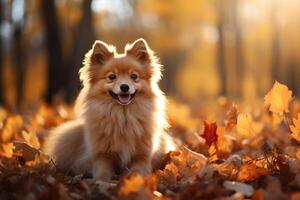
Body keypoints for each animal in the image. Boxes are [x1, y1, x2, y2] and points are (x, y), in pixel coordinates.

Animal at [44, 38, 176, 180]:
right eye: (112, 77)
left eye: (134, 77)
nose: (124, 86)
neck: (123, 116)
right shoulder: (102, 156)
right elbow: (102, 173)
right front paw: (101, 181)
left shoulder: (142, 157)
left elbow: (137, 172)